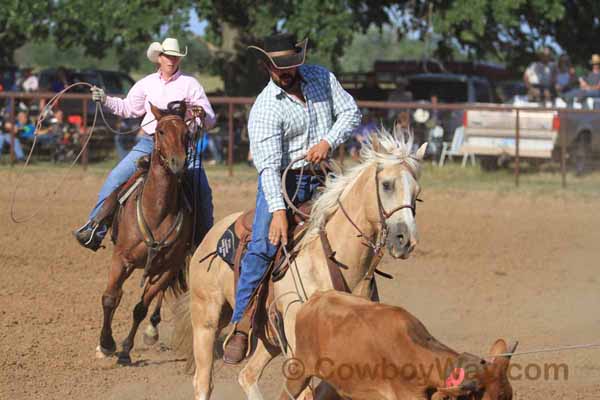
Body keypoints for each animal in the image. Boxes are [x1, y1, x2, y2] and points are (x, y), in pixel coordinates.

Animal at [97, 104, 193, 366]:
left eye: (187, 133)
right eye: (160, 131)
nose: (177, 163)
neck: (156, 211)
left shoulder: (169, 267)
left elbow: (141, 307)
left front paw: (125, 352)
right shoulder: (121, 259)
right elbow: (110, 298)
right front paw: (106, 344)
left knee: (156, 296)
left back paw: (152, 330)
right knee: (118, 294)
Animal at [173, 129, 426, 400]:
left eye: (417, 192)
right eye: (387, 184)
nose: (406, 240)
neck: (329, 261)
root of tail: (213, 234)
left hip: (269, 337)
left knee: (248, 375)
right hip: (206, 319)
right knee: (203, 381)